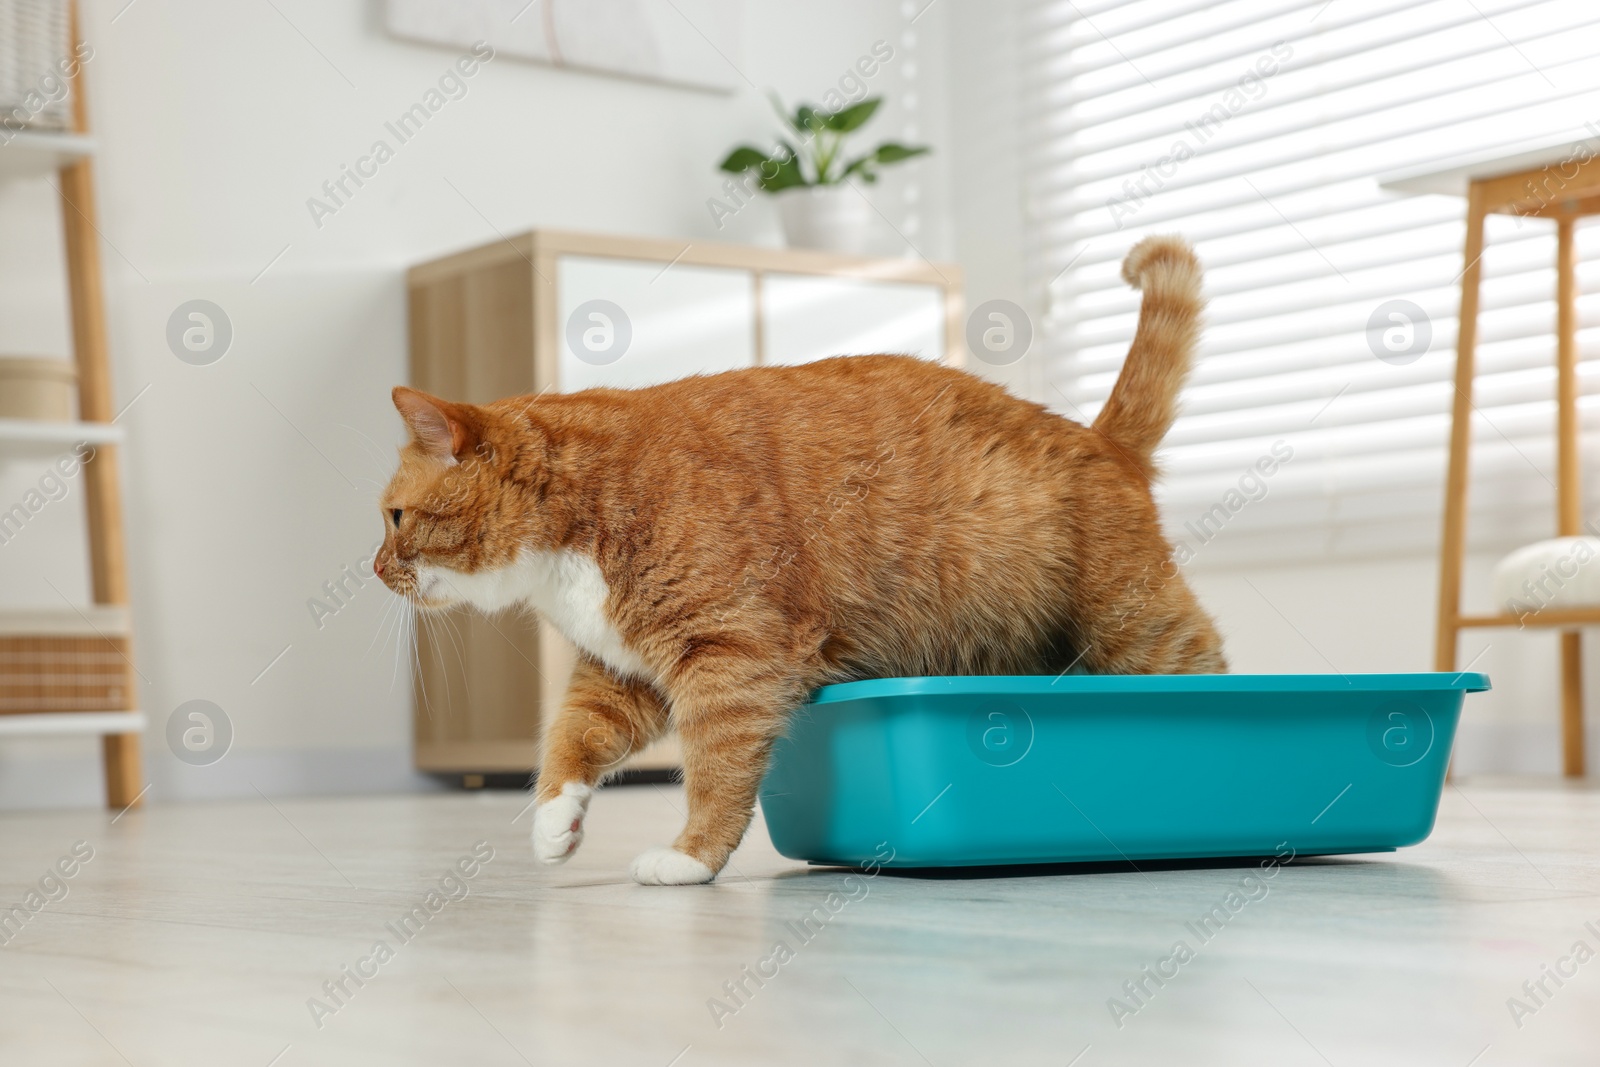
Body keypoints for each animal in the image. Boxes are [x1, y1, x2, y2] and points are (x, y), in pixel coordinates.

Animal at [377, 238, 1222, 889]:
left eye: (393, 518)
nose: (376, 570)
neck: (583, 510)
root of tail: (1096, 436)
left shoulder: (728, 657)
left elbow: (714, 769)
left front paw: (690, 857)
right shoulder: (620, 672)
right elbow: (572, 735)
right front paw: (555, 822)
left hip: (1135, 624)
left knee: (1205, 667)